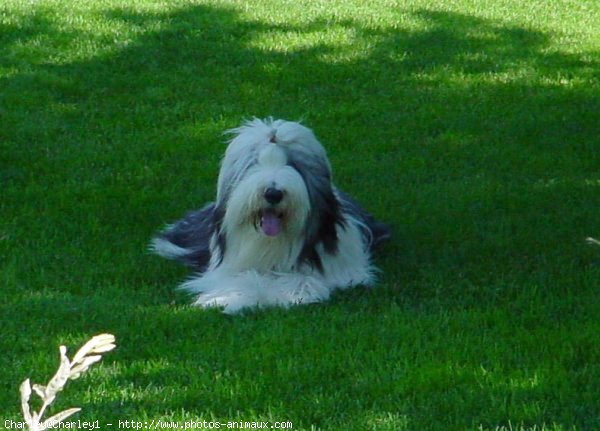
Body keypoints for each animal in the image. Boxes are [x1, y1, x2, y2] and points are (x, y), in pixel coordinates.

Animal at [152, 118, 392, 314]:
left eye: (292, 164)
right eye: (254, 163)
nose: (273, 193)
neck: (272, 242)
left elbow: (302, 280)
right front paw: (229, 298)